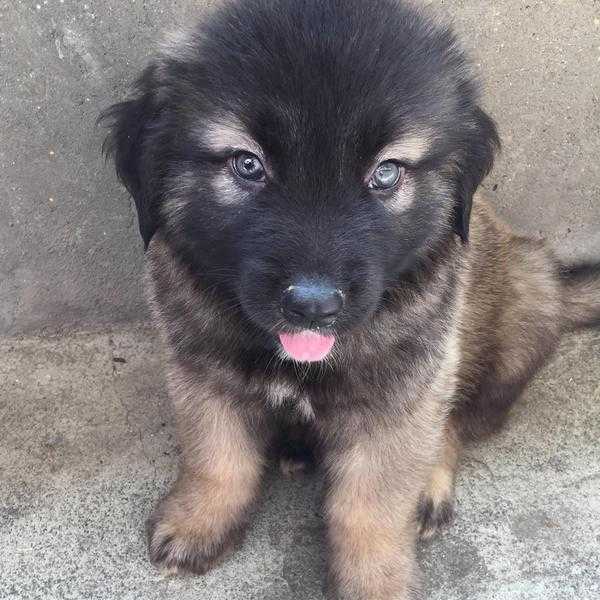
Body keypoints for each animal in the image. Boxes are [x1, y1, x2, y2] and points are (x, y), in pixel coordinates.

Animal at [101, 2, 596, 596]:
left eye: (386, 173)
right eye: (248, 165)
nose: (313, 305)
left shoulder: (403, 392)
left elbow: (371, 506)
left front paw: (375, 580)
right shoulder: (201, 369)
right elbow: (215, 456)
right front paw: (199, 519)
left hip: (522, 310)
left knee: (456, 423)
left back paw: (429, 483)